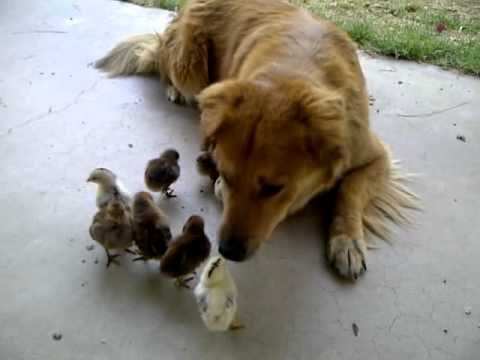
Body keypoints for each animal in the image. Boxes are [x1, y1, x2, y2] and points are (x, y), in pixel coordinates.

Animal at [96, 0, 416, 278]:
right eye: (227, 174)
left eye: (274, 189)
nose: (228, 250)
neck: (294, 75)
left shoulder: (376, 155)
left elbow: (351, 189)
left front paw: (347, 241)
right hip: (190, 65)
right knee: (164, 65)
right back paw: (174, 89)